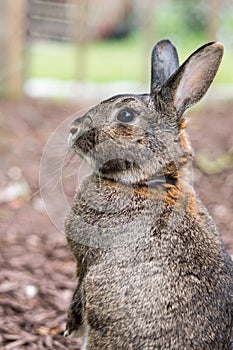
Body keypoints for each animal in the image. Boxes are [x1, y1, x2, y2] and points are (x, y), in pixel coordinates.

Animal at [63, 39, 233, 348]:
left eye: (125, 115)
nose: (73, 129)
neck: (147, 182)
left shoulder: (85, 260)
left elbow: (80, 289)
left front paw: (70, 327)